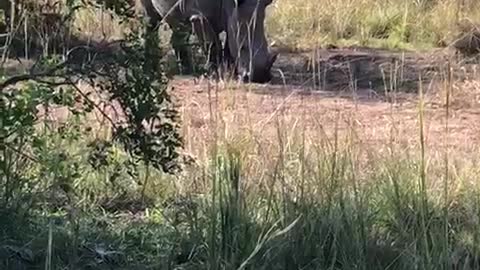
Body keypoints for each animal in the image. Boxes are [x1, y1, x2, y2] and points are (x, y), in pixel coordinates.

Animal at [140, 0, 278, 83]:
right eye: (243, 48)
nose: (260, 78)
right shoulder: (199, 17)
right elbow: (212, 44)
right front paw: (214, 73)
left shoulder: (230, 20)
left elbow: (228, 45)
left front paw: (229, 71)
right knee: (151, 18)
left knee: (179, 25)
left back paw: (186, 69)